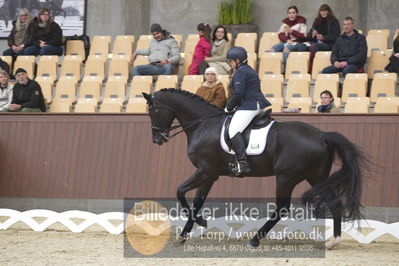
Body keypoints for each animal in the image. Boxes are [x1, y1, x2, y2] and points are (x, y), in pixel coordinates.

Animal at [144, 89, 368, 247]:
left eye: (152, 111)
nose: (157, 139)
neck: (203, 125)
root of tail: (323, 136)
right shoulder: (210, 175)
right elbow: (198, 201)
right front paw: (187, 231)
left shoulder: (204, 171)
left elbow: (180, 191)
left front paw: (198, 223)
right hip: (317, 178)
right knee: (335, 203)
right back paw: (334, 241)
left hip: (286, 177)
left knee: (282, 208)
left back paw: (255, 239)